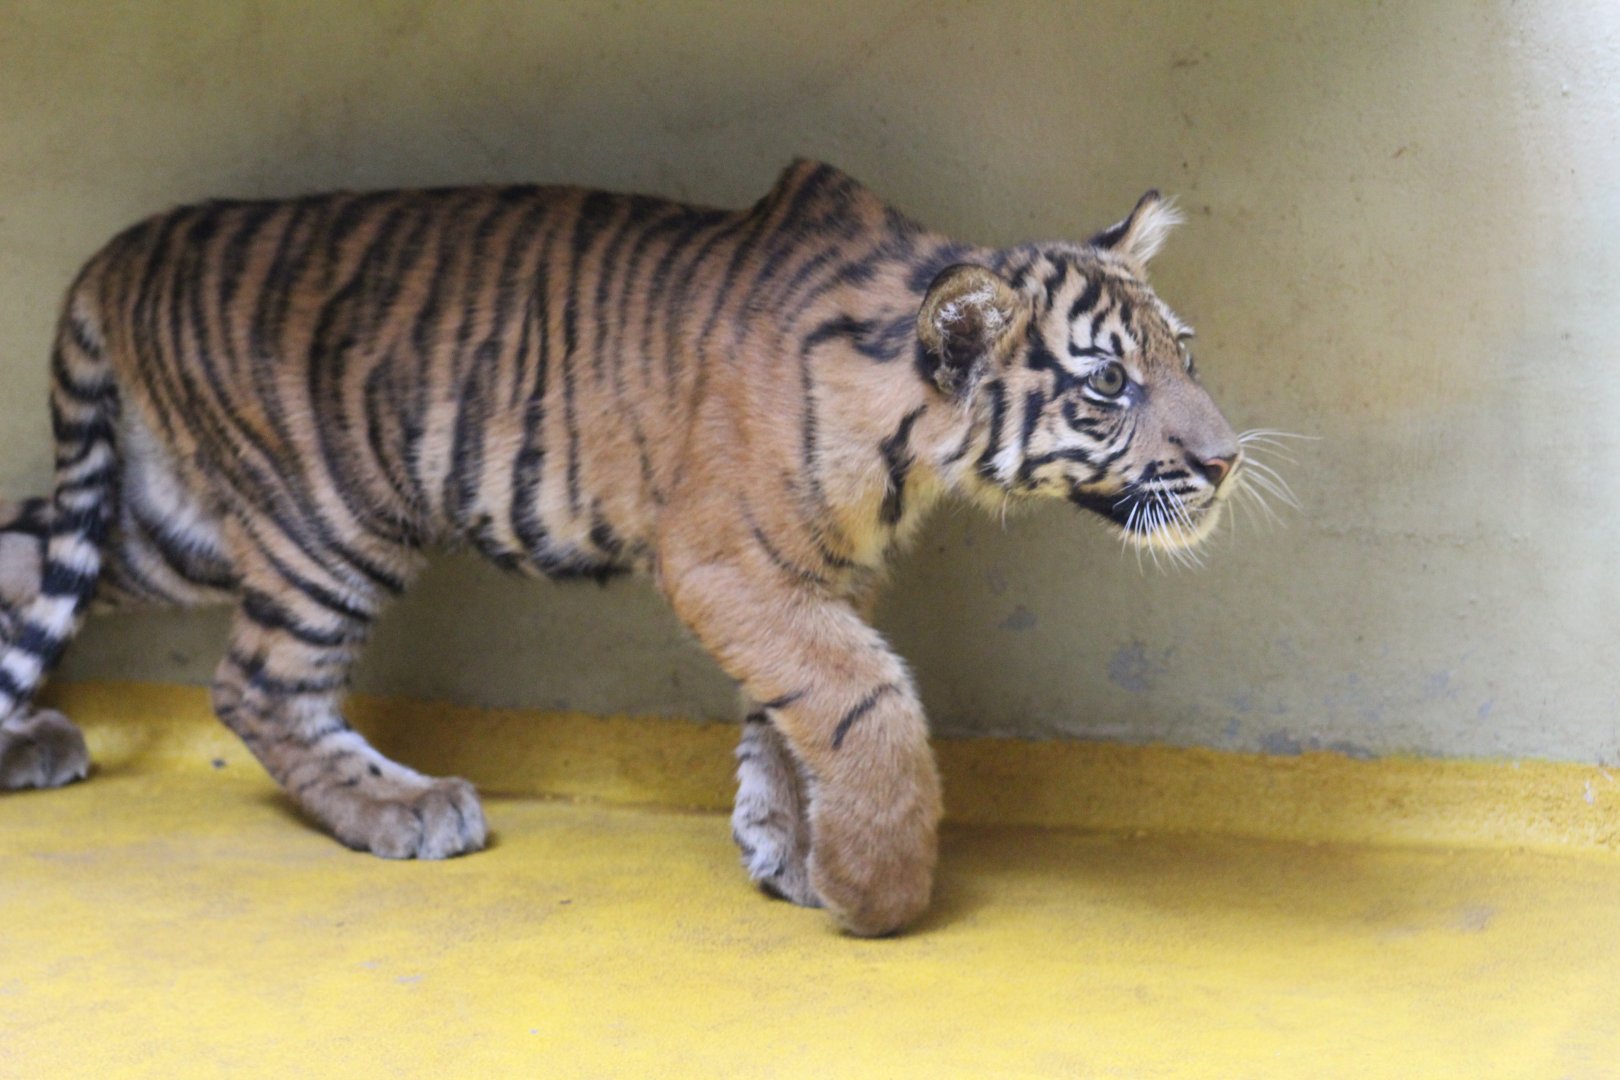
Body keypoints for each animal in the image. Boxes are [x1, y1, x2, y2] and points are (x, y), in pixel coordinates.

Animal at [0, 160, 1244, 936]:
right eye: (1108, 384)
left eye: (1183, 353)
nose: (1230, 460)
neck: (915, 445)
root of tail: (118, 249)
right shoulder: (727, 563)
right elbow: (865, 703)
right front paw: (876, 885)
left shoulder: (807, 575)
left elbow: (791, 718)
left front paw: (790, 852)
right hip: (327, 521)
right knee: (256, 684)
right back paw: (402, 810)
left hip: (173, 524)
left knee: (30, 550)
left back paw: (25, 743)